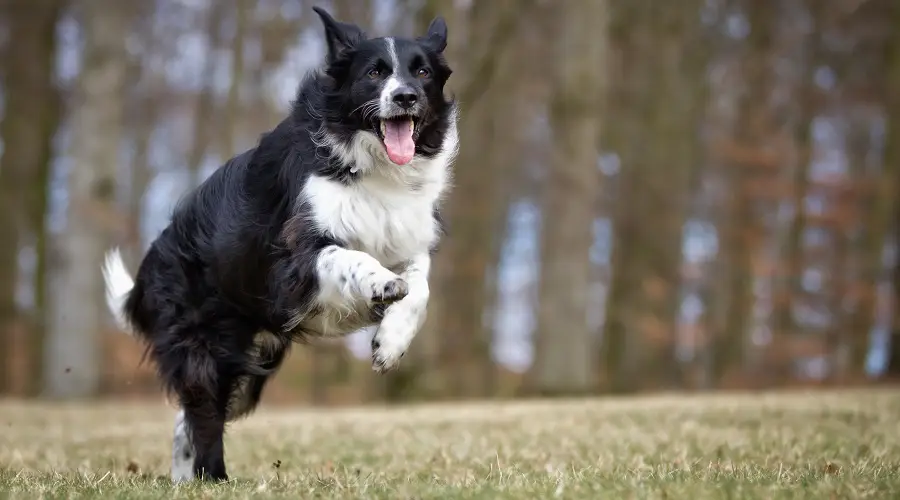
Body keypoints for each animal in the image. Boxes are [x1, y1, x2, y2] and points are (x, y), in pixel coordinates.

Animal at [102, 7, 458, 482]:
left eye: (422, 72)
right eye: (374, 72)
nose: (404, 96)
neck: (374, 166)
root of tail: (150, 264)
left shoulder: (408, 236)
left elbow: (420, 285)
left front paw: (391, 341)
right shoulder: (294, 260)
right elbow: (349, 256)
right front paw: (380, 284)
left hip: (252, 361)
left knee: (188, 419)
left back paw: (184, 478)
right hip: (207, 345)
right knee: (203, 413)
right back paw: (212, 478)